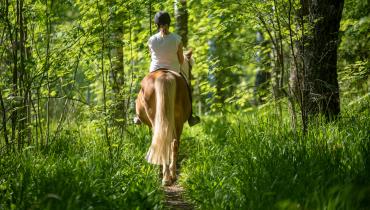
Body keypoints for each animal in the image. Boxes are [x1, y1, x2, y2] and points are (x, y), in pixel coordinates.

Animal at [135, 51, 194, 186]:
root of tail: (164, 76)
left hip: (157, 120)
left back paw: (167, 177)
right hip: (176, 121)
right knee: (173, 143)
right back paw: (170, 176)